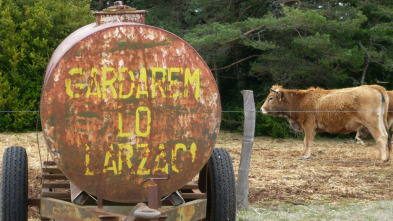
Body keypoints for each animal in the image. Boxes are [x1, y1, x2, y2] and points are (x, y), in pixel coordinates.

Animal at [258, 84, 390, 161]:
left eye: (271, 98)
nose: (261, 109)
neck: (301, 101)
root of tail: (373, 87)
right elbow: (305, 142)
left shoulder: (309, 126)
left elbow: (308, 141)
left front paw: (306, 155)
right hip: (380, 121)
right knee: (386, 136)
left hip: (371, 122)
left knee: (381, 137)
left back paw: (383, 158)